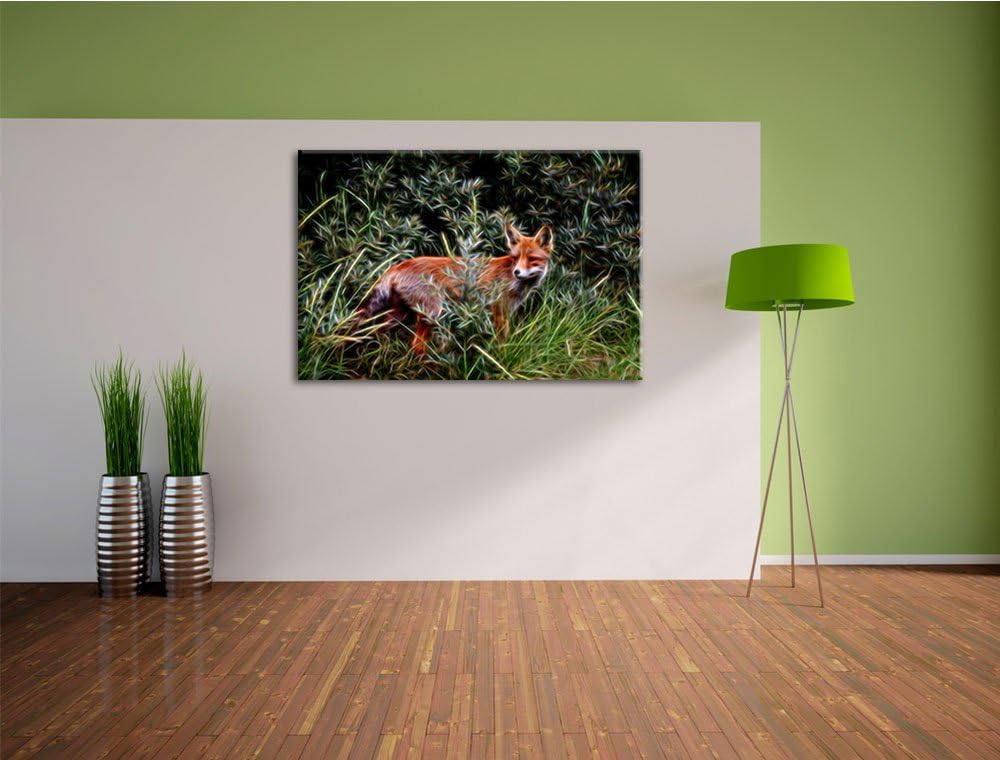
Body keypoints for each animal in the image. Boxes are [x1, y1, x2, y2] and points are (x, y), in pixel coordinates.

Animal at [355, 223, 555, 357]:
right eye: (515, 257)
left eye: (532, 259)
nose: (517, 272)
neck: (512, 281)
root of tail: (398, 265)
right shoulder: (499, 313)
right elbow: (501, 343)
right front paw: (500, 359)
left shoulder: (505, 313)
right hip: (432, 313)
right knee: (417, 345)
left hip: (400, 314)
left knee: (377, 330)